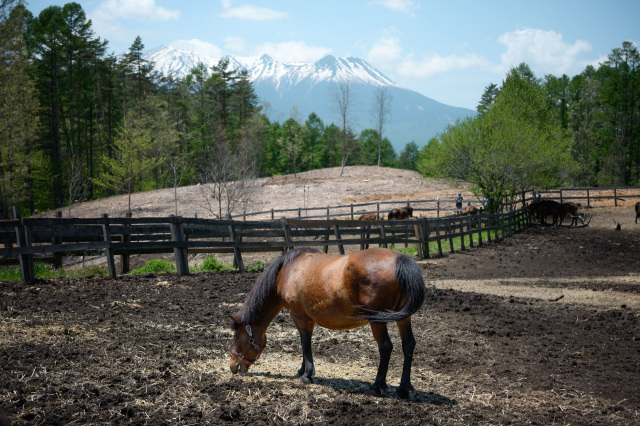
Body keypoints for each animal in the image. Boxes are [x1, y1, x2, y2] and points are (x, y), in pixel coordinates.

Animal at [229, 247, 426, 399]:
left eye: (237, 337)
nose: (233, 366)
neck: (287, 271)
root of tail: (399, 259)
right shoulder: (308, 319)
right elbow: (305, 344)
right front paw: (302, 370)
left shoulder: (299, 316)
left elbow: (305, 343)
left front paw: (307, 374)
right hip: (403, 318)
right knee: (408, 344)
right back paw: (404, 389)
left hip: (377, 320)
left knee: (385, 346)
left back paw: (377, 386)